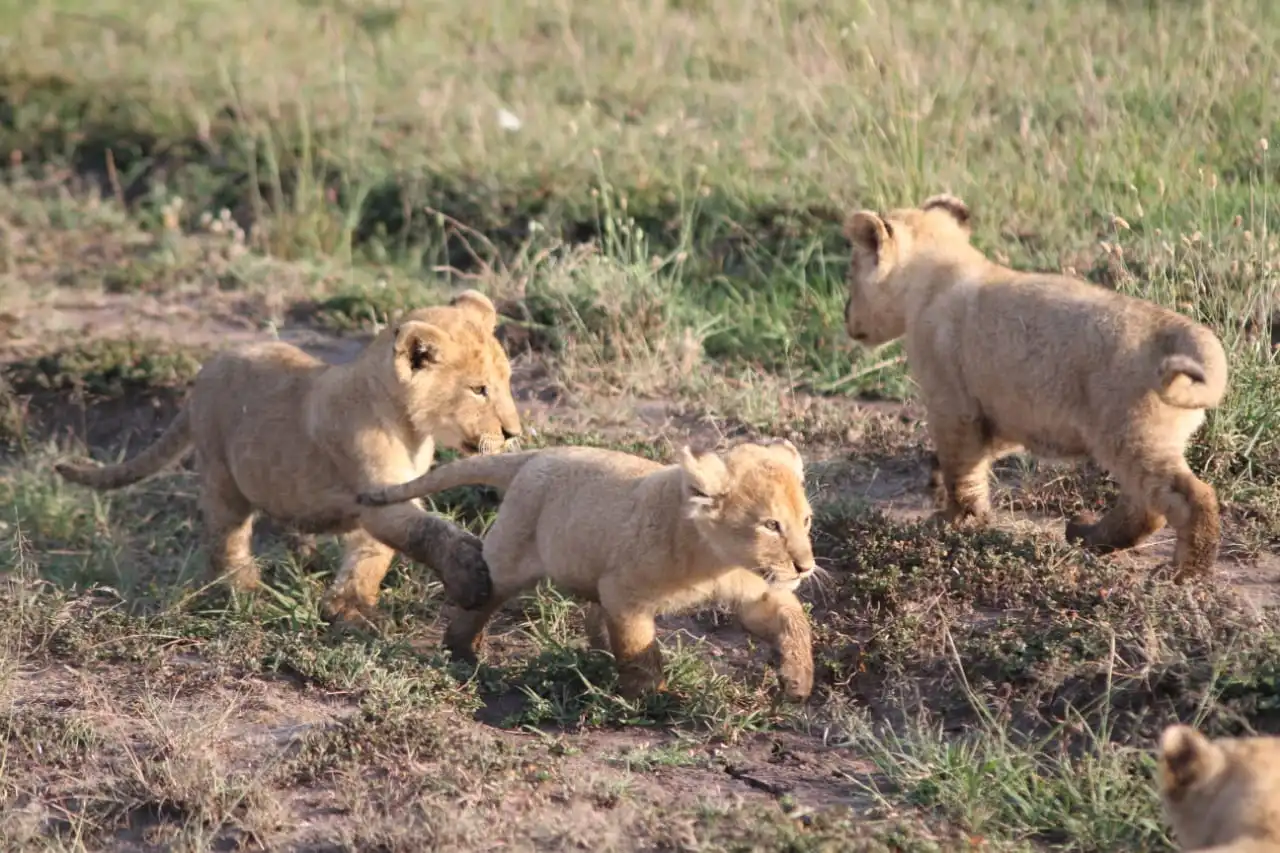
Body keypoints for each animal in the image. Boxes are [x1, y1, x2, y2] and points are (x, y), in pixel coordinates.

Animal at [54, 289, 522, 623]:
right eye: (478, 389)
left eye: (505, 382)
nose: (513, 432)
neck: (411, 429)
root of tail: (205, 373)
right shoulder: (378, 496)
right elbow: (430, 531)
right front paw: (470, 577)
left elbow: (373, 556)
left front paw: (349, 605)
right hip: (222, 476)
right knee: (225, 538)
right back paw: (244, 591)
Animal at [355, 439, 819, 700]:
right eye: (771, 525)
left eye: (806, 520)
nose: (806, 566)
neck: (715, 560)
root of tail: (537, 454)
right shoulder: (626, 593)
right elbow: (638, 649)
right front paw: (654, 698)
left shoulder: (758, 590)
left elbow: (793, 619)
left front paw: (798, 682)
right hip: (510, 555)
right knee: (481, 599)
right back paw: (462, 652)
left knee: (593, 616)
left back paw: (595, 653)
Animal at [842, 194, 1228, 580]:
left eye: (851, 271)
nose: (846, 317)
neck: (935, 276)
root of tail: (1180, 329)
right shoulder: (1002, 411)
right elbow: (979, 457)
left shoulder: (952, 406)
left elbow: (961, 470)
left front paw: (953, 521)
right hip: (1141, 441)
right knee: (1144, 506)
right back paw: (1086, 534)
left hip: (1131, 437)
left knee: (1188, 498)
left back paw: (1184, 572)